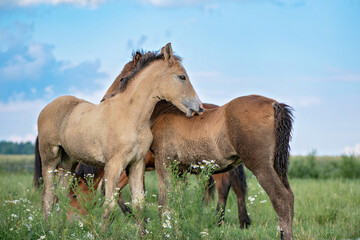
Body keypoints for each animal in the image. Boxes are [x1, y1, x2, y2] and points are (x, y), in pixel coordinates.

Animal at [38, 43, 205, 227]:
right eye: (182, 77)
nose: (199, 107)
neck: (132, 116)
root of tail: (48, 106)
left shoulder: (136, 164)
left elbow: (139, 204)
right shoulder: (113, 165)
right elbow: (109, 205)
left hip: (69, 161)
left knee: (59, 194)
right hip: (49, 157)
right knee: (48, 195)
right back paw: (47, 228)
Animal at [150, 96, 294, 239]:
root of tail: (273, 104)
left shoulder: (163, 164)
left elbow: (163, 202)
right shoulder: (179, 171)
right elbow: (175, 200)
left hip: (260, 166)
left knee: (280, 197)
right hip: (276, 166)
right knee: (289, 196)